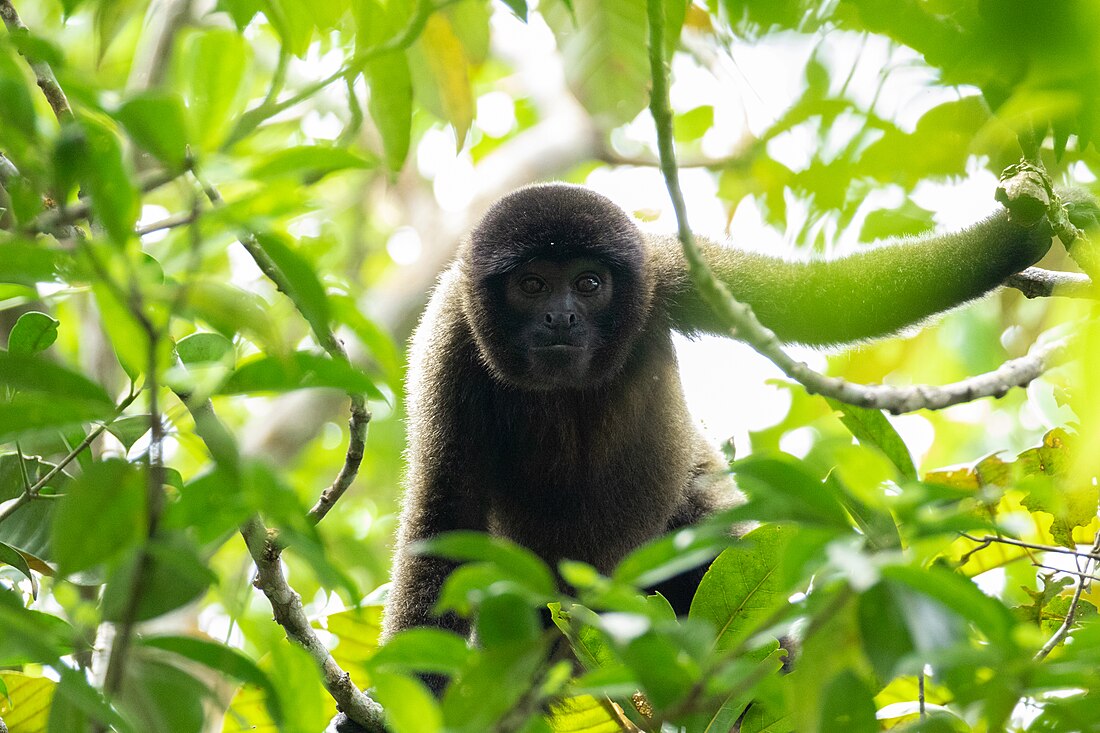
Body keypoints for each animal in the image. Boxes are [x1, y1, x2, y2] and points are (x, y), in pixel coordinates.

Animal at [327, 179, 1100, 726]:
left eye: (588, 283)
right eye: (532, 284)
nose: (561, 316)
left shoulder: (666, 272)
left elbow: (825, 301)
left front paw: (1020, 229)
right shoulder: (449, 345)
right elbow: (443, 516)